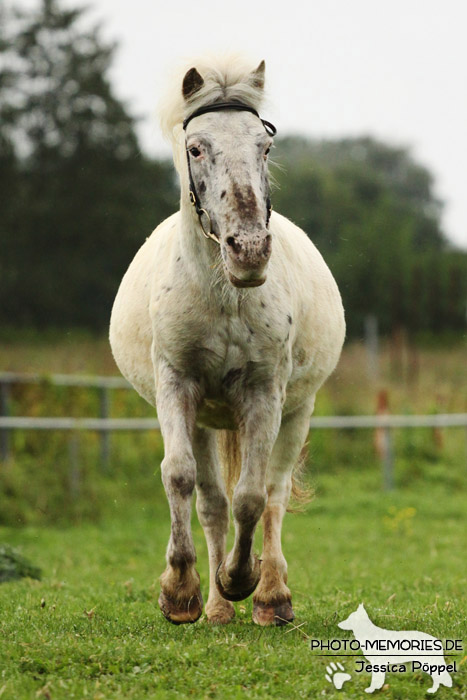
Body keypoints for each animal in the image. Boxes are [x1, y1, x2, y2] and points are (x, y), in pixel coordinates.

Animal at [109, 53, 344, 624]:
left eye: (265, 147)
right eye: (197, 147)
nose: (250, 250)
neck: (223, 293)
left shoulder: (263, 394)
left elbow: (252, 498)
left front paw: (243, 579)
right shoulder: (177, 386)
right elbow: (180, 478)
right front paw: (181, 592)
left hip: (296, 411)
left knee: (274, 494)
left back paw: (270, 597)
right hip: (205, 418)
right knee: (210, 501)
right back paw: (215, 607)